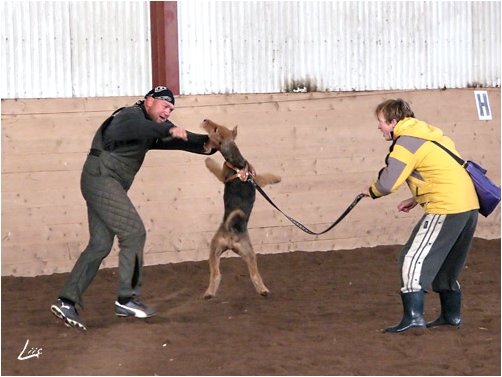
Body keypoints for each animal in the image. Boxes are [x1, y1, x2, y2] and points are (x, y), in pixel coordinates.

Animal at [204, 119, 282, 298]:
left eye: (216, 128)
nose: (205, 120)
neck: (236, 161)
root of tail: (232, 234)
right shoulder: (256, 179)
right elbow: (267, 177)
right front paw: (278, 178)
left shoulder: (248, 177)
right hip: (232, 250)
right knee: (226, 274)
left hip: (229, 250)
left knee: (221, 274)